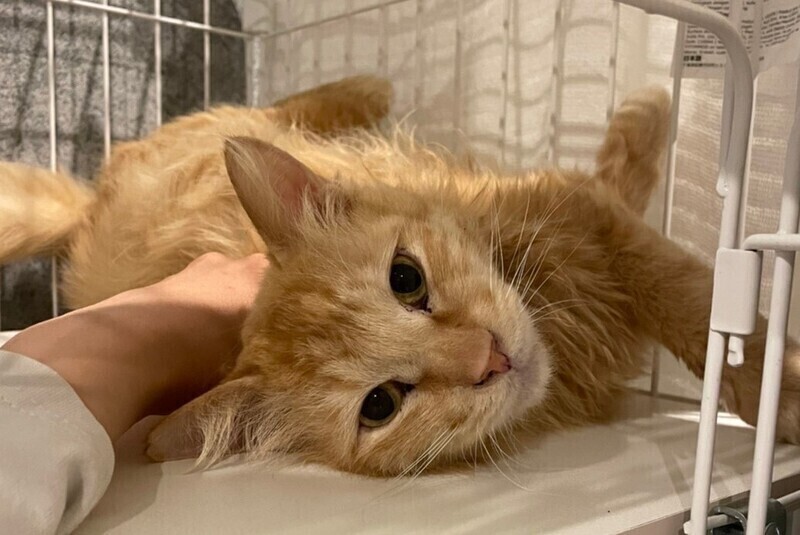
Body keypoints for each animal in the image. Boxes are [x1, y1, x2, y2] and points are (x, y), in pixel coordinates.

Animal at [1, 75, 799, 477]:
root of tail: (90, 208)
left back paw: (363, 88)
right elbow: (659, 245)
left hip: (226, 130)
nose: (488, 357)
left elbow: (679, 283)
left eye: (406, 278)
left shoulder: (579, 212)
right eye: (380, 404)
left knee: (269, 112)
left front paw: (771, 383)